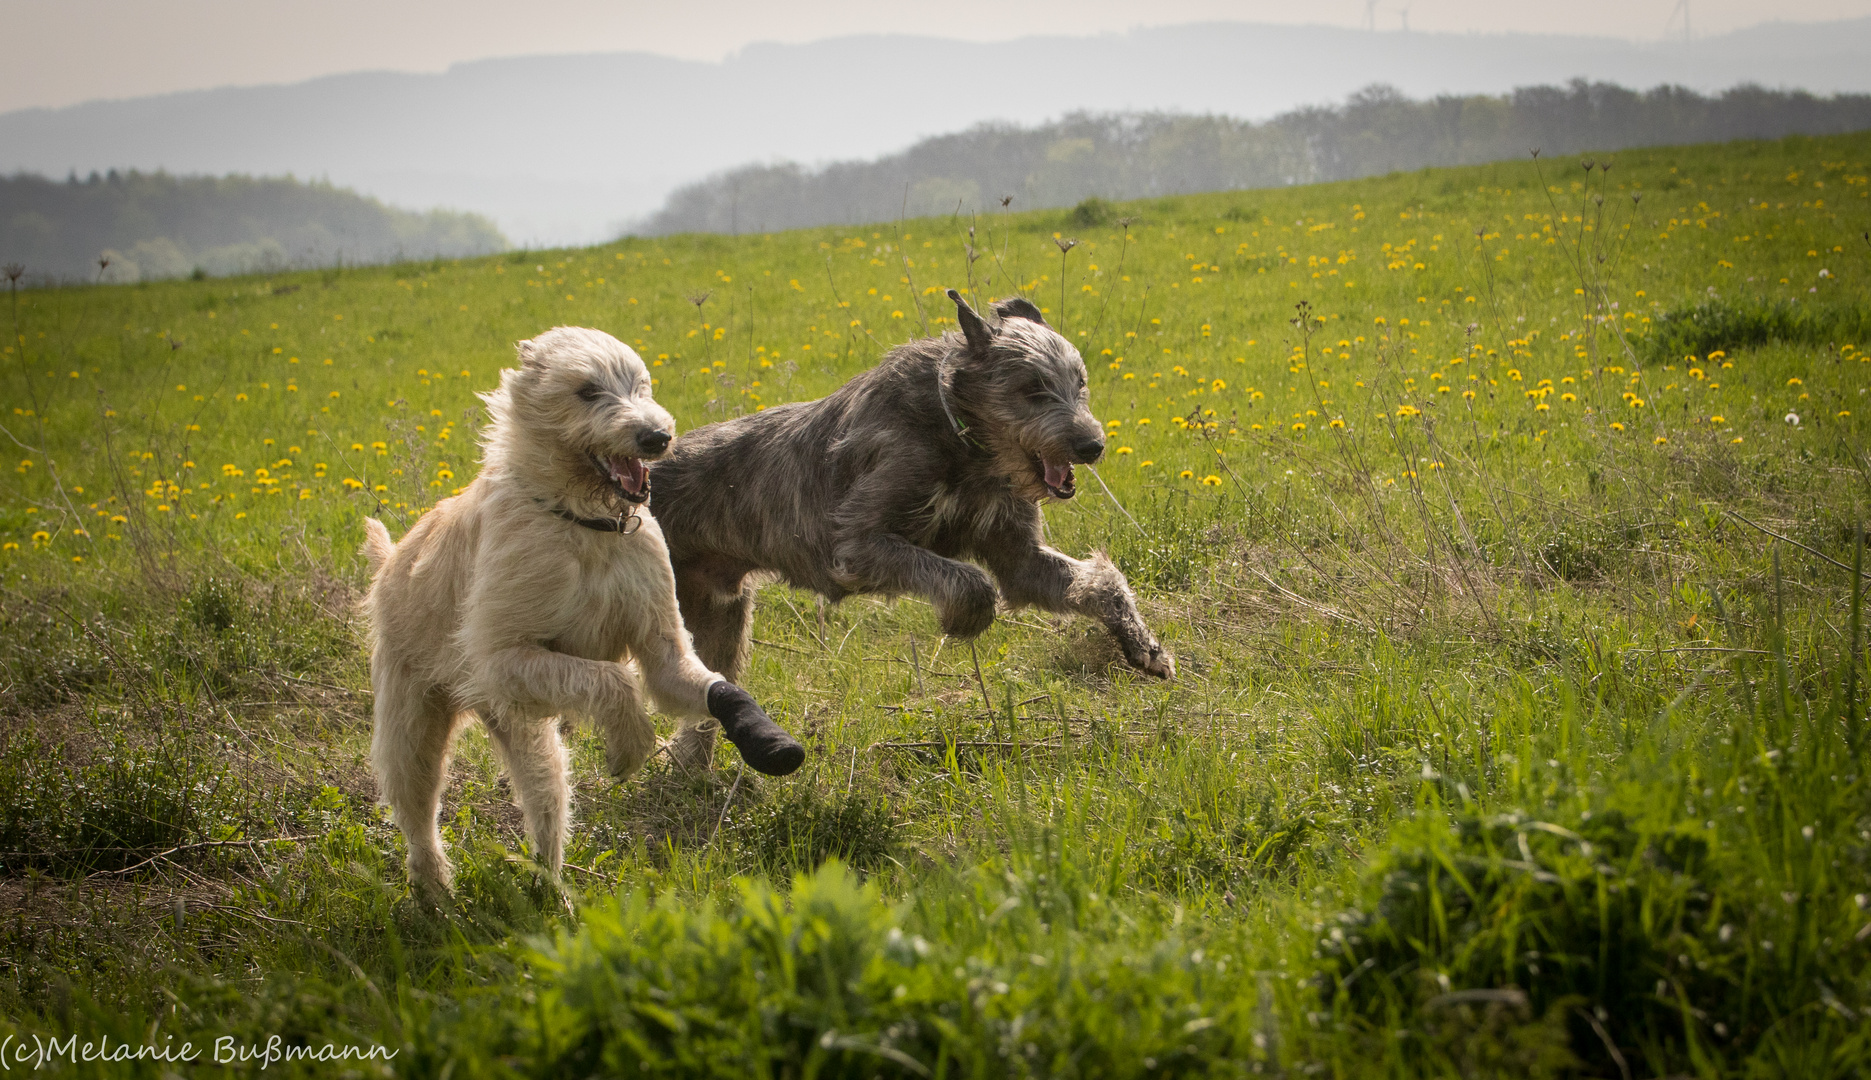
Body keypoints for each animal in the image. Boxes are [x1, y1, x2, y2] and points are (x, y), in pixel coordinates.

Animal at [359, 321, 804, 890]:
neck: (585, 522)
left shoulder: (663, 649)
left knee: (544, 810)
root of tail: (390, 560)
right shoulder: (500, 661)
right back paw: (436, 892)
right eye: (588, 391)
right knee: (417, 817)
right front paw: (630, 744)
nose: (657, 438)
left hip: (527, 736)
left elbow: (713, 687)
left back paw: (551, 893)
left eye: (640, 384)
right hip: (415, 727)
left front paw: (765, 738)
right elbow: (613, 679)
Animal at [643, 290, 1167, 763]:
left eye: (1080, 382)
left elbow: (1094, 580)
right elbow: (969, 581)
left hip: (720, 613)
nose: (1092, 446)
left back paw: (692, 765)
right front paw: (964, 618)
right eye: (1033, 388)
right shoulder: (857, 544)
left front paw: (1142, 644)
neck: (961, 434)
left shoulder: (1020, 558)